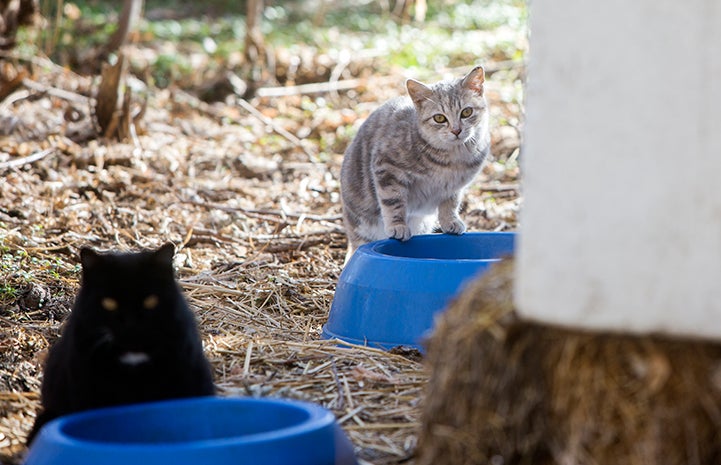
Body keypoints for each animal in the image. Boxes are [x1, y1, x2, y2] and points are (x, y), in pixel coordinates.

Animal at [338, 66, 486, 258]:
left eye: (466, 112)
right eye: (439, 118)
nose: (456, 130)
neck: (452, 159)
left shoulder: (454, 187)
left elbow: (450, 204)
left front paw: (450, 221)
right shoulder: (386, 166)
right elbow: (393, 201)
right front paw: (398, 225)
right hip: (361, 224)